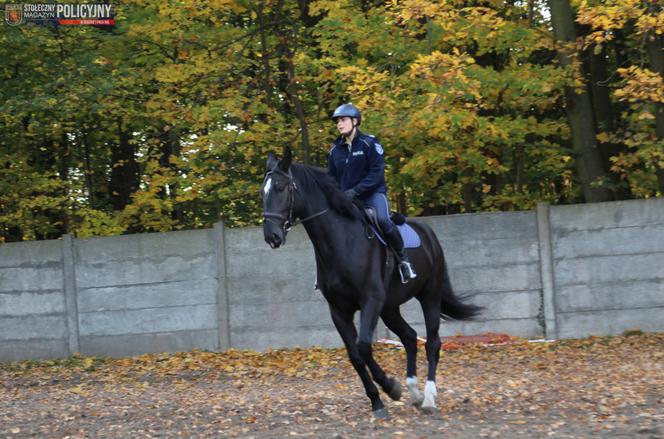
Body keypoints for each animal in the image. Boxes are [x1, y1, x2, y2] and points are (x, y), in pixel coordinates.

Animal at [260, 150, 482, 422]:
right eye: (263, 191)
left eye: (281, 187)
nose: (272, 236)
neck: (341, 241)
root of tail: (428, 233)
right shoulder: (339, 311)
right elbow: (355, 355)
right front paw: (378, 401)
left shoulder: (371, 301)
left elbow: (364, 346)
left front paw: (390, 387)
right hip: (390, 308)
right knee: (409, 337)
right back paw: (414, 392)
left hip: (429, 296)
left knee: (432, 342)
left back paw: (429, 397)